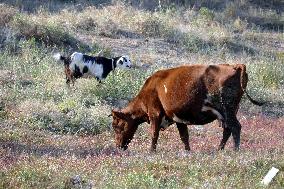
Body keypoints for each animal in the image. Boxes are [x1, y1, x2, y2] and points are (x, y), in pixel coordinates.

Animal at [111, 64, 264, 151]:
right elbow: (184, 136)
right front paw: (187, 152)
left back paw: (235, 151)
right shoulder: (179, 118)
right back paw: (219, 150)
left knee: (235, 127)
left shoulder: (154, 114)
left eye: (117, 126)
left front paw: (151, 151)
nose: (118, 147)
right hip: (228, 112)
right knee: (227, 130)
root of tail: (234, 66)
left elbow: (154, 134)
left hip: (227, 109)